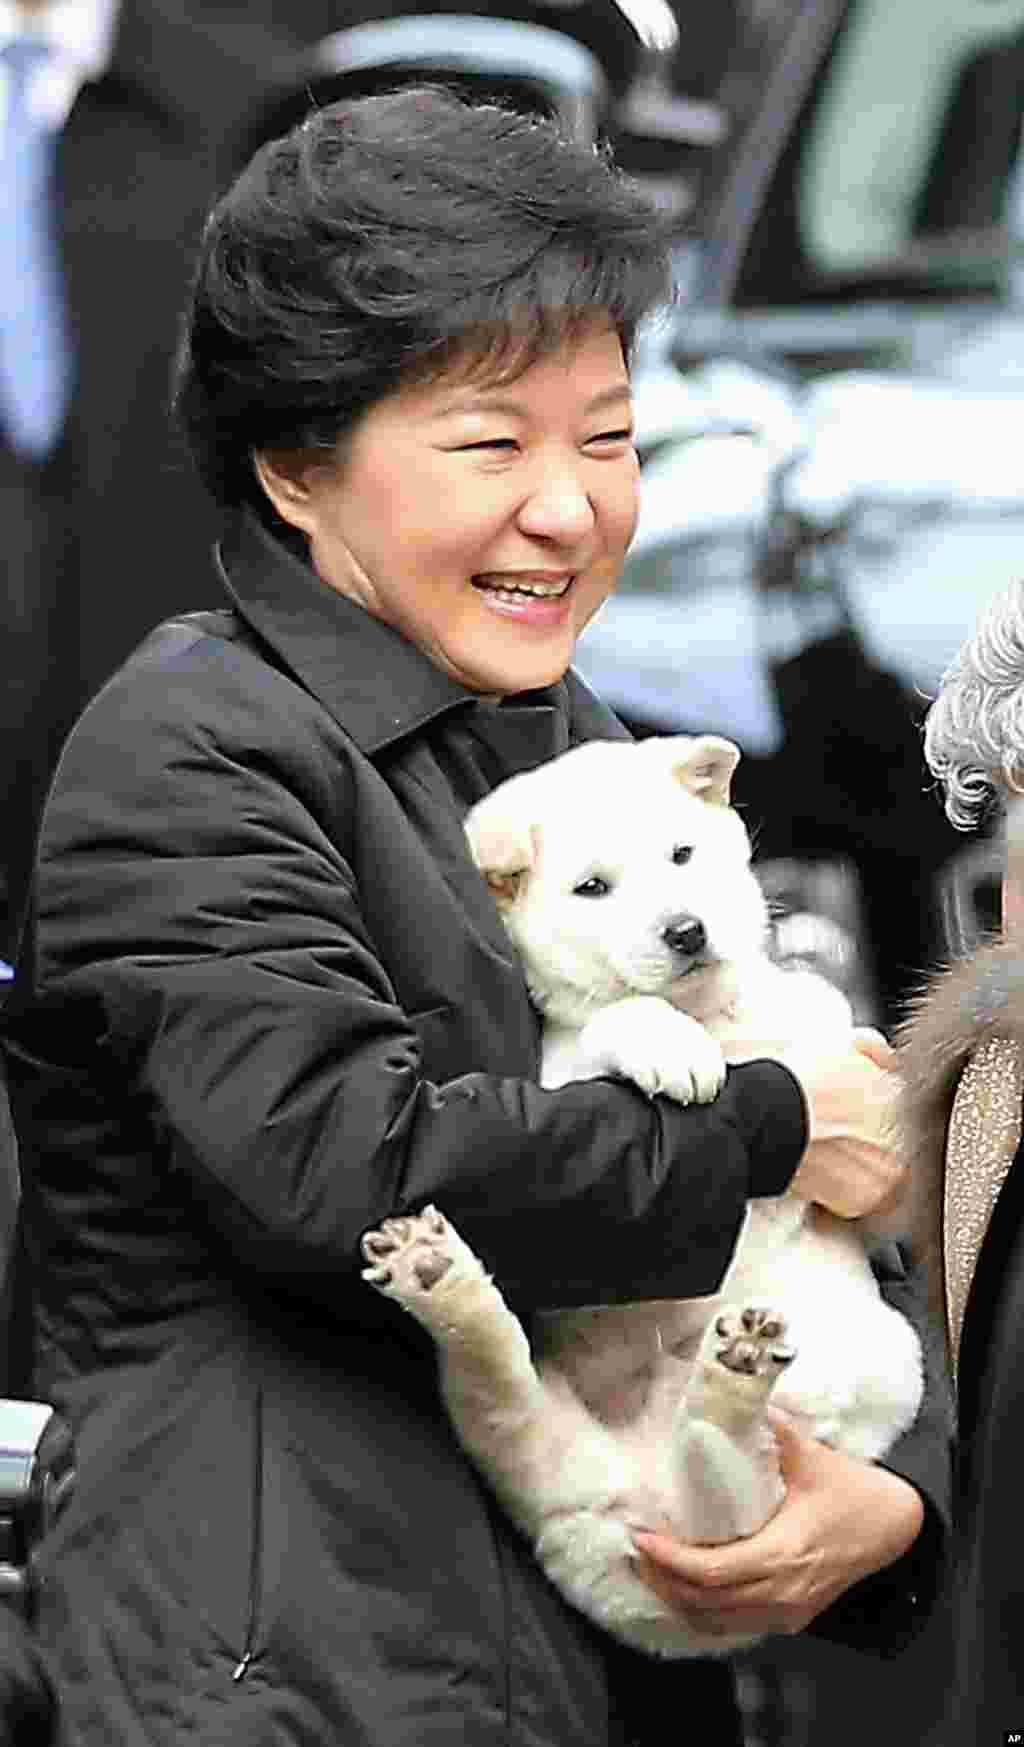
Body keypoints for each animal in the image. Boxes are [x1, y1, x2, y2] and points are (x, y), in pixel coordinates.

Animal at [363, 733, 922, 1649]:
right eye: (594, 888)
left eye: (682, 855)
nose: (687, 929)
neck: (715, 1016)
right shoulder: (556, 1075)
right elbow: (610, 1019)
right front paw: (670, 1048)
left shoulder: (835, 1050)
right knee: (540, 1406)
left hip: (870, 1359)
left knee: (727, 1483)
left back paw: (721, 1377)